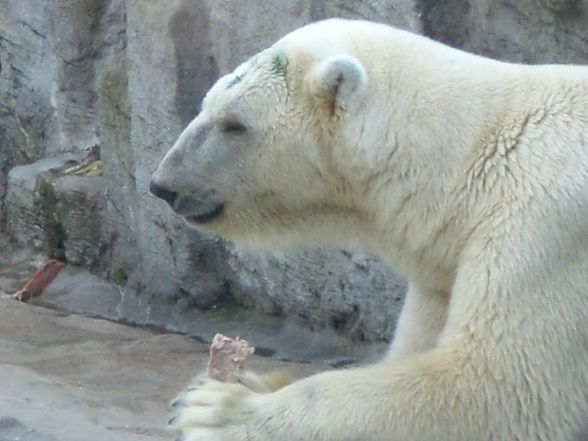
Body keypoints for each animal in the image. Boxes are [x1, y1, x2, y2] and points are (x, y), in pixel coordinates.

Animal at [150, 18, 588, 440]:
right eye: (206, 103)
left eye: (235, 124)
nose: (163, 185)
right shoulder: (443, 265)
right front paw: (221, 387)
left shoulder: (546, 220)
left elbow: (500, 386)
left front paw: (214, 410)